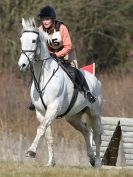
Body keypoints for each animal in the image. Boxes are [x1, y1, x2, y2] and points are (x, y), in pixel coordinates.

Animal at [18, 18, 102, 169]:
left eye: (33, 40)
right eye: (21, 39)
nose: (22, 65)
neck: (43, 75)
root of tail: (96, 80)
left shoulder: (53, 108)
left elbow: (41, 129)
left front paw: (31, 151)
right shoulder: (41, 112)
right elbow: (48, 136)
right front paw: (51, 162)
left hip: (94, 112)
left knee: (97, 134)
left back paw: (98, 162)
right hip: (73, 117)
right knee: (86, 131)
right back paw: (91, 158)